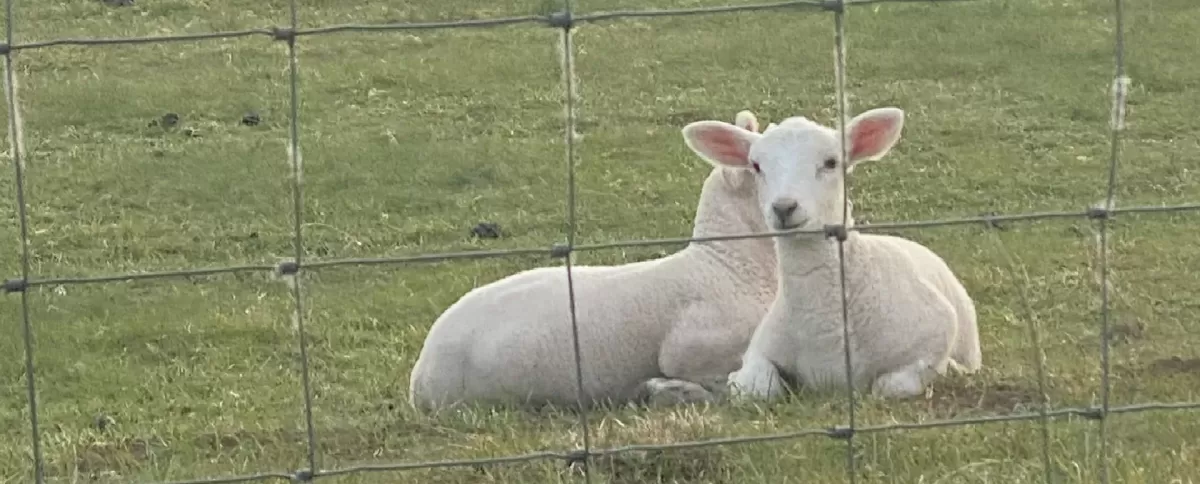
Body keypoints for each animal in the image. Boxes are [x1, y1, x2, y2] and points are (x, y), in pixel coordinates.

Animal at [679, 107, 981, 400]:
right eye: (756, 166)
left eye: (831, 162)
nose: (784, 207)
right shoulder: (757, 352)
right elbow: (756, 389)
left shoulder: (936, 334)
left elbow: (889, 387)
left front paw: (951, 368)